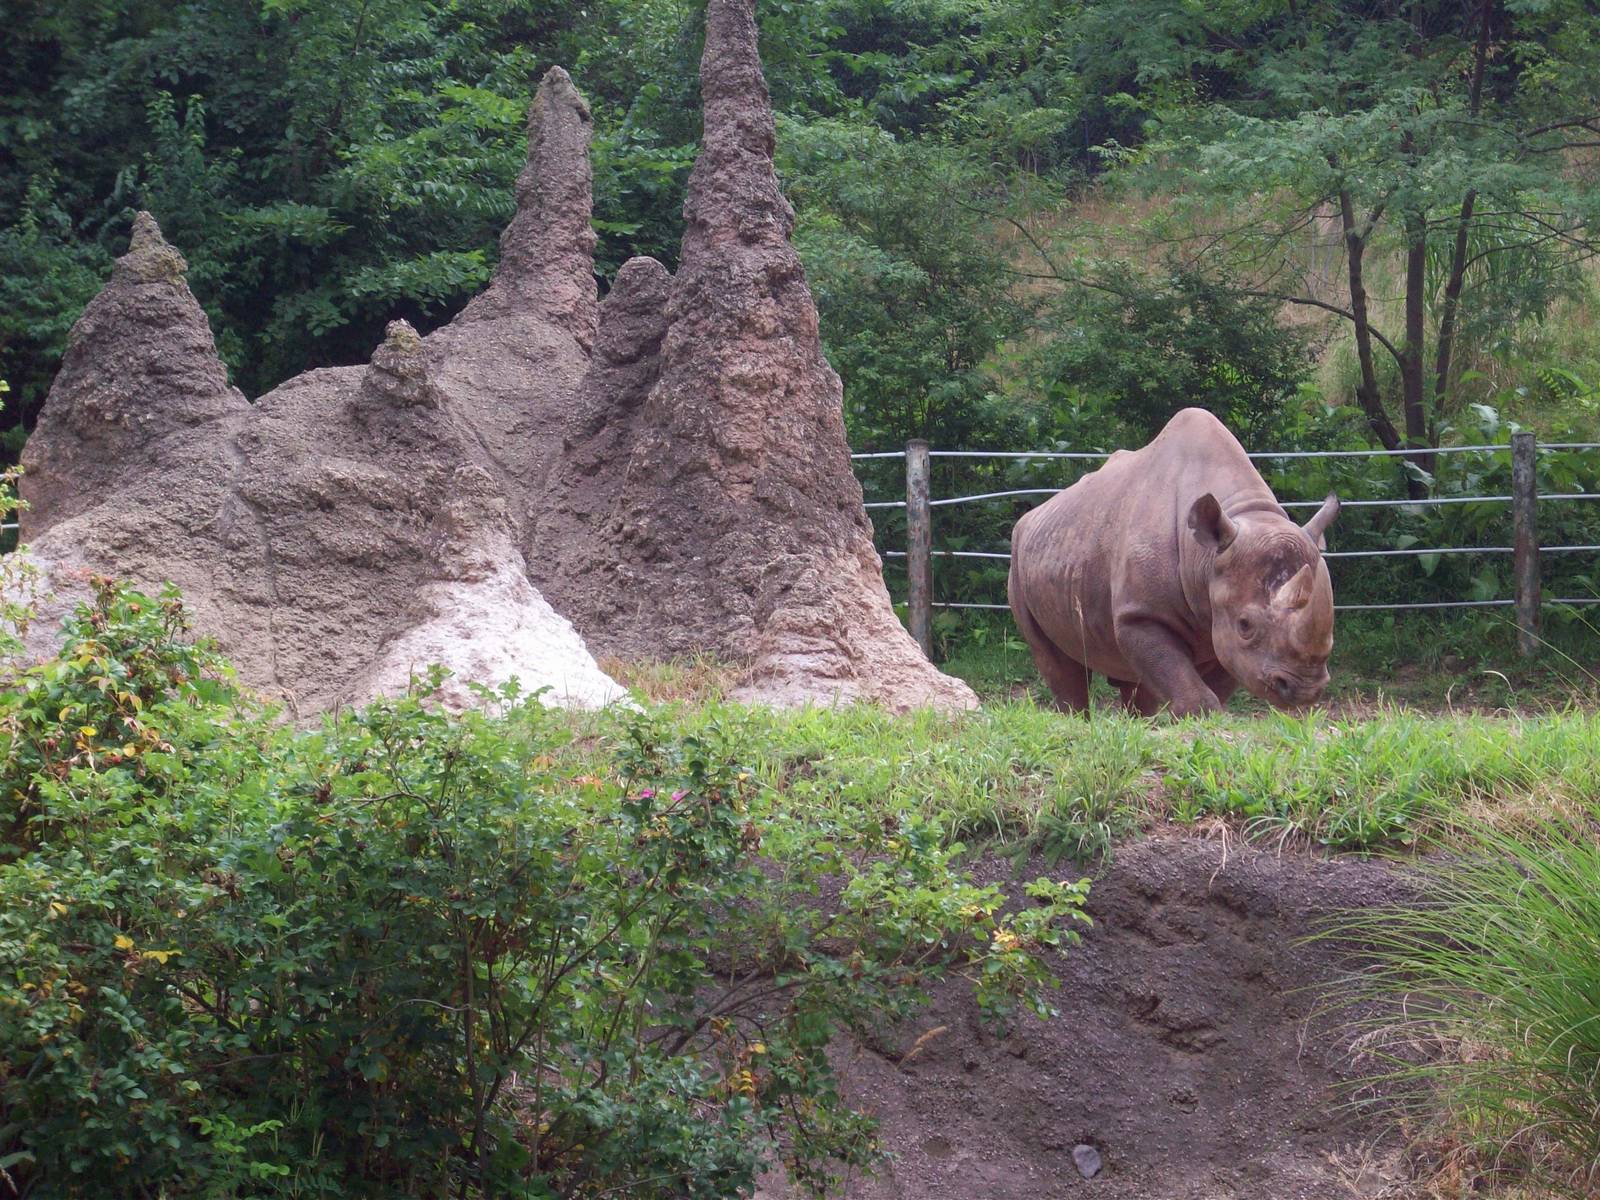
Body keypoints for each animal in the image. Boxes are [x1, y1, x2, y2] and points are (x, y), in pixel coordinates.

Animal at [1008, 408, 1340, 716]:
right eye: (1245, 625)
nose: (1305, 690)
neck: (1207, 555)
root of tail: (1032, 516)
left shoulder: (1227, 633)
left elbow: (1217, 681)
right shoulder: (1142, 613)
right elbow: (1191, 688)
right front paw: (1200, 717)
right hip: (1019, 560)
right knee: (1060, 666)